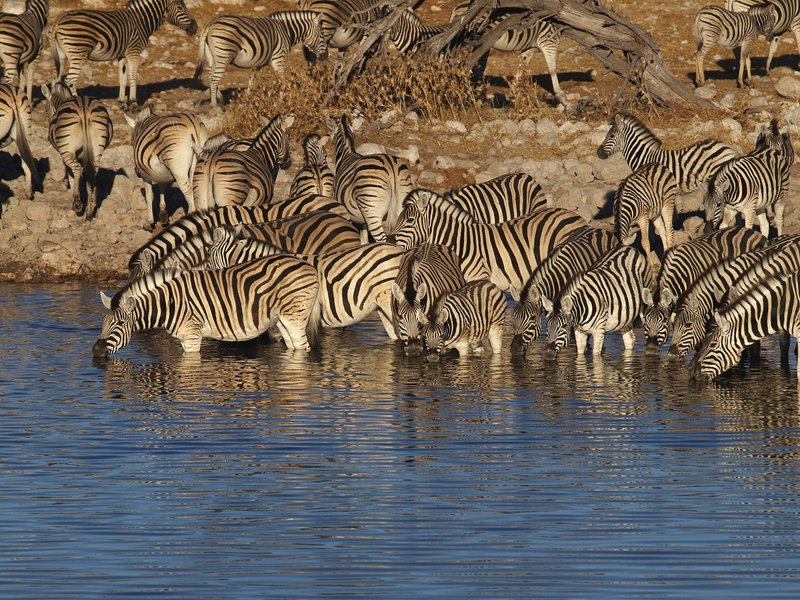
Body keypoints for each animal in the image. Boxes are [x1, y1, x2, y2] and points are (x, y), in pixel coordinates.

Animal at [41, 81, 113, 220]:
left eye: (46, 110)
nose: (47, 138)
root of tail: (84, 108)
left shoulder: (67, 155)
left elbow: (72, 175)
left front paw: (74, 197)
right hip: (97, 149)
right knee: (93, 173)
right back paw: (89, 213)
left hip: (66, 150)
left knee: (76, 168)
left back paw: (77, 204)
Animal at [50, 0, 197, 105]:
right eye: (180, 8)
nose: (195, 27)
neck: (141, 21)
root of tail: (58, 21)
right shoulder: (134, 51)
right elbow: (132, 76)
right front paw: (133, 102)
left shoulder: (122, 55)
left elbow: (122, 77)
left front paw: (121, 101)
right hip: (78, 52)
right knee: (70, 80)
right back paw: (76, 102)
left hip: (62, 55)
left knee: (56, 79)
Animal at [194, 10, 328, 108]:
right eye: (322, 34)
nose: (325, 56)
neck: (286, 31)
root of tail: (210, 22)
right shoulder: (279, 58)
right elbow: (282, 81)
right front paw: (282, 101)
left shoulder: (257, 63)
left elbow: (252, 81)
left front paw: (247, 99)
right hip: (223, 55)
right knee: (214, 79)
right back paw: (214, 105)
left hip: (212, 57)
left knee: (210, 76)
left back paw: (220, 99)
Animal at [327, 113, 414, 242]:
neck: (346, 154)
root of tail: (390, 165)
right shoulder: (363, 219)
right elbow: (364, 239)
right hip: (401, 207)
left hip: (372, 211)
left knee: (382, 239)